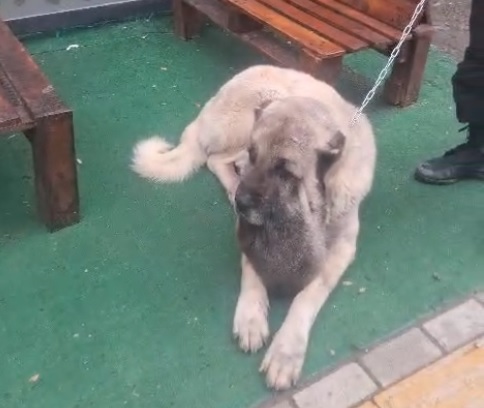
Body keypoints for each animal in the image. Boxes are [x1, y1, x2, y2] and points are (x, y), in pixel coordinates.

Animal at [131, 65, 377, 390]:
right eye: (254, 154)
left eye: (285, 170)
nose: (242, 204)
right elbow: (252, 272)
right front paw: (250, 317)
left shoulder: (343, 248)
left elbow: (307, 296)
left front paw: (286, 352)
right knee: (215, 159)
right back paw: (231, 183)